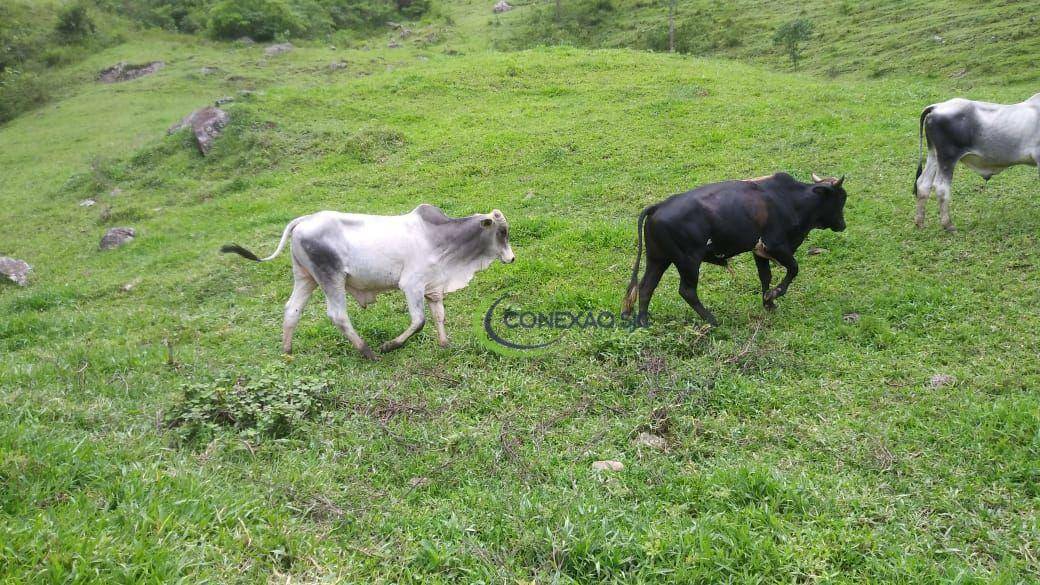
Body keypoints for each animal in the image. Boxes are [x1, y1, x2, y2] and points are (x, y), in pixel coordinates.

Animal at [221, 205, 513, 360]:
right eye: (502, 231)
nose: (511, 258)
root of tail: (305, 221)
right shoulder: (412, 285)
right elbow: (419, 321)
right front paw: (390, 345)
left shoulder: (433, 287)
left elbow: (439, 316)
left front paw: (444, 344)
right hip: (331, 277)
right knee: (337, 315)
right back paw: (368, 352)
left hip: (305, 277)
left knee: (292, 310)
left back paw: (287, 352)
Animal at [619, 172, 848, 324]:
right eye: (840, 198)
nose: (842, 225)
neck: (791, 200)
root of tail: (659, 206)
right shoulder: (776, 246)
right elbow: (793, 269)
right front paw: (774, 294)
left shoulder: (759, 251)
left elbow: (765, 276)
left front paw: (768, 303)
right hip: (688, 262)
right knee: (687, 291)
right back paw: (712, 320)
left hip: (658, 259)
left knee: (646, 287)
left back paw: (643, 321)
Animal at [915, 91, 1035, 230]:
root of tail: (936, 107)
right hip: (947, 157)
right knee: (941, 187)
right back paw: (948, 225)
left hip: (934, 155)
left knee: (923, 183)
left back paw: (920, 223)